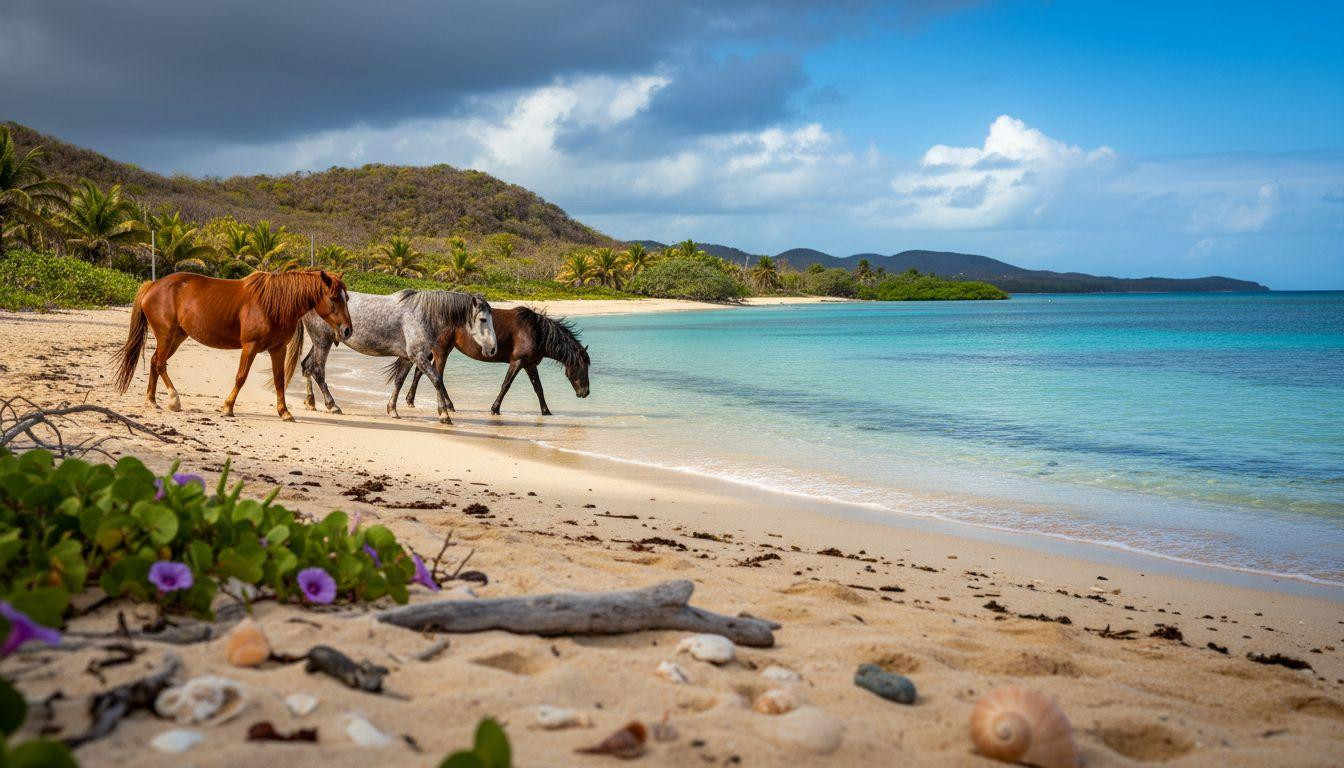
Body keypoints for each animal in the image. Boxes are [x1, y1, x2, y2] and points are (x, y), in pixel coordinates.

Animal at [114, 270, 352, 422]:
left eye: (347, 298)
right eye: (333, 298)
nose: (347, 330)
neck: (273, 304)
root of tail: (153, 285)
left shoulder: (278, 349)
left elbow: (279, 380)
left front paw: (284, 412)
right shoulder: (250, 347)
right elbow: (241, 377)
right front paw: (227, 407)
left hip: (177, 337)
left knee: (156, 361)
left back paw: (152, 401)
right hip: (166, 335)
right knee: (160, 363)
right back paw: (174, 400)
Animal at [297, 289, 496, 424]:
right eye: (483, 319)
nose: (493, 349)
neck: (423, 314)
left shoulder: (409, 358)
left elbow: (399, 381)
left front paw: (392, 410)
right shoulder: (419, 356)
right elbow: (437, 380)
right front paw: (444, 414)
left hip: (320, 341)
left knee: (307, 366)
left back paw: (311, 402)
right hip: (323, 341)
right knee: (318, 371)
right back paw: (333, 405)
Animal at [388, 305, 589, 416]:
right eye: (583, 366)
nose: (585, 393)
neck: (537, 332)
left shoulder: (530, 365)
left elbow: (538, 389)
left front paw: (546, 412)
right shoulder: (517, 362)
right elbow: (506, 385)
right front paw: (495, 409)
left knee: (420, 371)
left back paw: (411, 400)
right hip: (442, 351)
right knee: (436, 376)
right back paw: (449, 406)